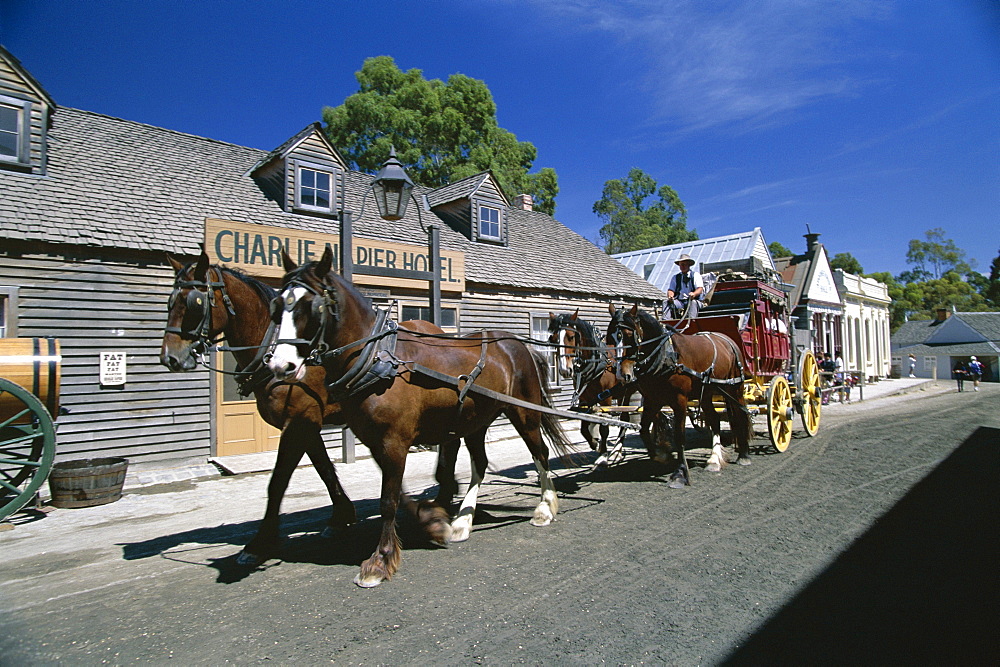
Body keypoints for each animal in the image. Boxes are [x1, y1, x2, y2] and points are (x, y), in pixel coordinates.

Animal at [270, 248, 576, 588]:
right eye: (276, 307)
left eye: (310, 306)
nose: (280, 366)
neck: (378, 358)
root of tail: (518, 344)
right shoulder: (378, 442)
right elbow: (398, 494)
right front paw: (432, 523)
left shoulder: (394, 440)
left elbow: (388, 500)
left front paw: (380, 560)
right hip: (476, 420)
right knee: (481, 464)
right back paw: (463, 521)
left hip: (523, 412)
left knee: (540, 453)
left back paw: (545, 508)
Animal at [548, 312, 632, 464]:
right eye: (554, 339)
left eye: (571, 337)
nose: (564, 370)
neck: (595, 363)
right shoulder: (584, 398)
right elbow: (583, 427)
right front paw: (595, 444)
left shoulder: (606, 399)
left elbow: (604, 427)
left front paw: (603, 454)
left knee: (625, 418)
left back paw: (617, 451)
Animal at [600, 306, 752, 488]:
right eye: (610, 338)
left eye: (630, 335)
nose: (622, 375)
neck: (666, 356)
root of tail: (727, 340)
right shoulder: (653, 400)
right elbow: (644, 430)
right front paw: (662, 455)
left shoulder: (679, 400)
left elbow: (680, 435)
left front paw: (680, 472)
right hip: (707, 393)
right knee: (714, 419)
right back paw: (714, 459)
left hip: (735, 388)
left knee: (741, 415)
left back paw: (744, 455)